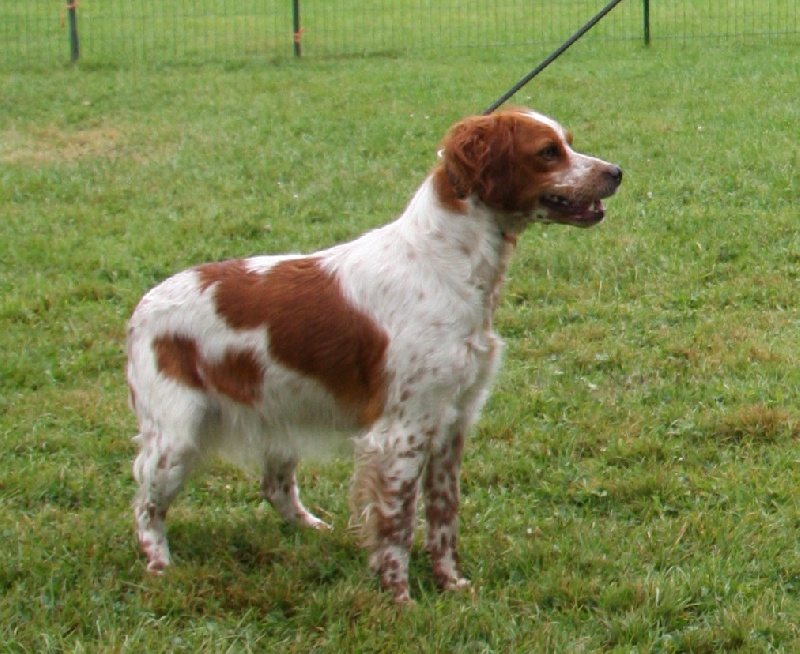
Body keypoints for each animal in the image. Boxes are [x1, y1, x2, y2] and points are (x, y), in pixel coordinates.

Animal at [128, 107, 620, 604]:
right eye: (548, 152)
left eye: (569, 142)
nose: (615, 172)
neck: (444, 264)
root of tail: (142, 306)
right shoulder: (402, 433)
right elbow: (397, 526)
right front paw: (400, 599)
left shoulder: (450, 425)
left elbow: (444, 517)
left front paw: (451, 583)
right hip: (176, 438)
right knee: (146, 504)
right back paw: (158, 566)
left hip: (280, 417)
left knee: (274, 487)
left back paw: (310, 528)